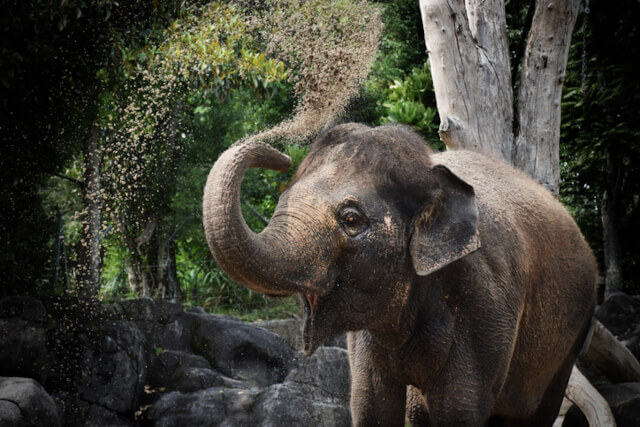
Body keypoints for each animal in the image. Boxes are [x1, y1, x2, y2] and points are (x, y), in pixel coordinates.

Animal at [202, 122, 596, 426]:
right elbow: (371, 408)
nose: (280, 156)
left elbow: (458, 412)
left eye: (351, 219)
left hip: (571, 339)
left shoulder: (487, 300)